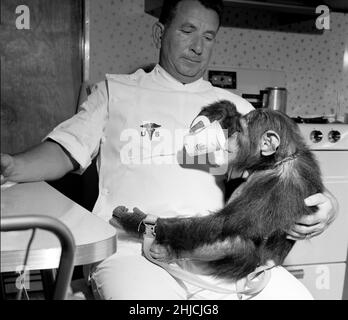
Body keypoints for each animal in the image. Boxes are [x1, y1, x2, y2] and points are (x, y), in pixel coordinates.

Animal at [113, 100, 324, 280]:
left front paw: (135, 220)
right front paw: (222, 112)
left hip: (247, 266)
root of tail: (269, 265)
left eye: (241, 131)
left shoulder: (277, 189)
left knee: (231, 239)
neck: (276, 161)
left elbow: (223, 223)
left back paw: (169, 251)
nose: (231, 137)